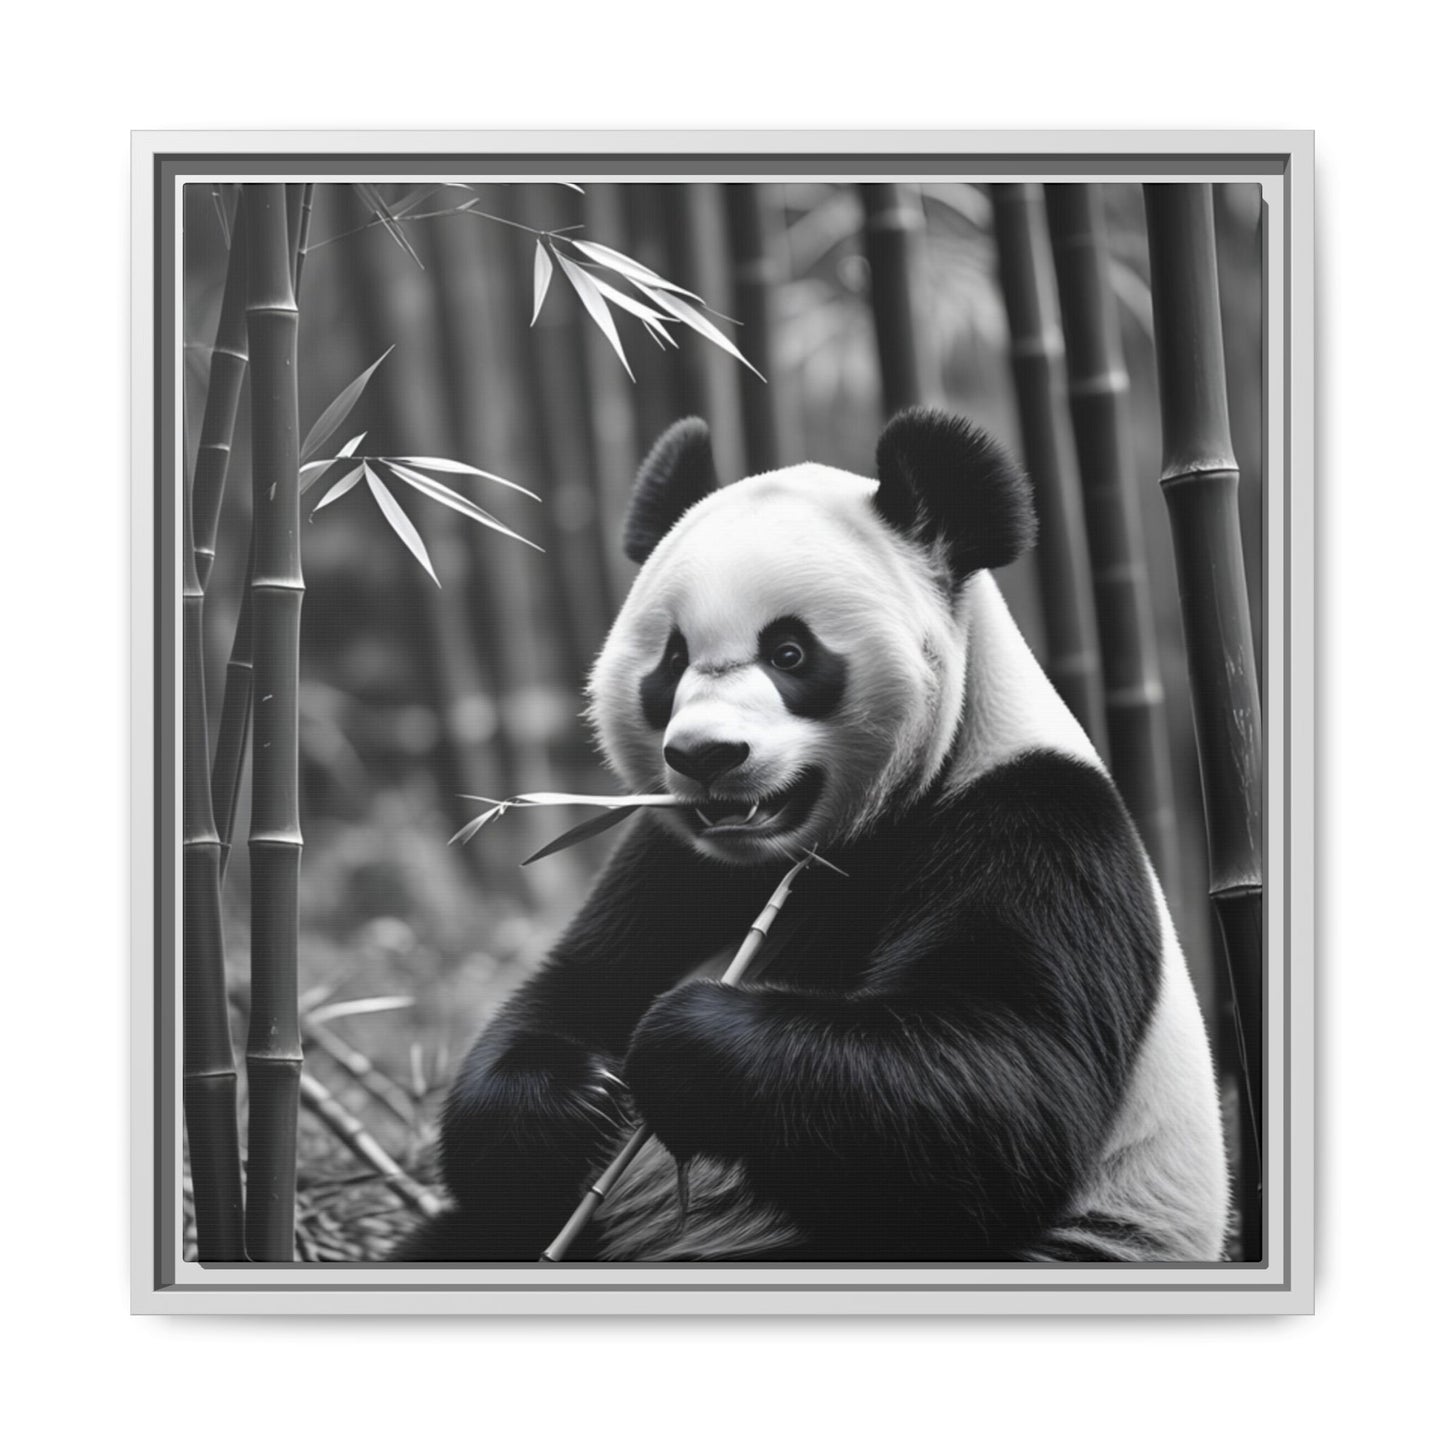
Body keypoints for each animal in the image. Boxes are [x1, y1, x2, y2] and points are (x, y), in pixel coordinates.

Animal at [397, 409, 1228, 1264]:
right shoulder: (673, 859)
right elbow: (564, 995)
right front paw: (579, 1096)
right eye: (672, 659)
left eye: (789, 652)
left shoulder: (1035, 822)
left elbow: (1003, 1083)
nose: (705, 755)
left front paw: (681, 1042)